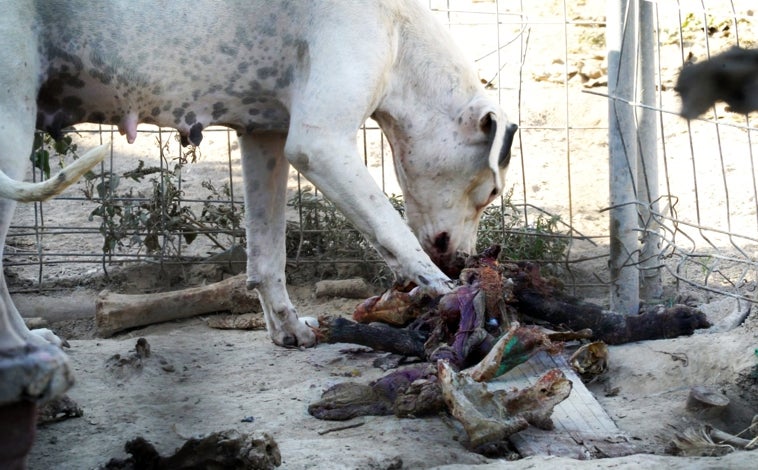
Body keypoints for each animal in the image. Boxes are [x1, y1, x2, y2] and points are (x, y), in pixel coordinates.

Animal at [0, 0, 520, 348]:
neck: (401, 33)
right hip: (11, 131)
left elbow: (268, 259)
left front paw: (288, 329)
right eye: (491, 192)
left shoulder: (264, 141)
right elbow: (390, 228)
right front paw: (443, 289)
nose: (464, 259)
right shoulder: (319, 145)